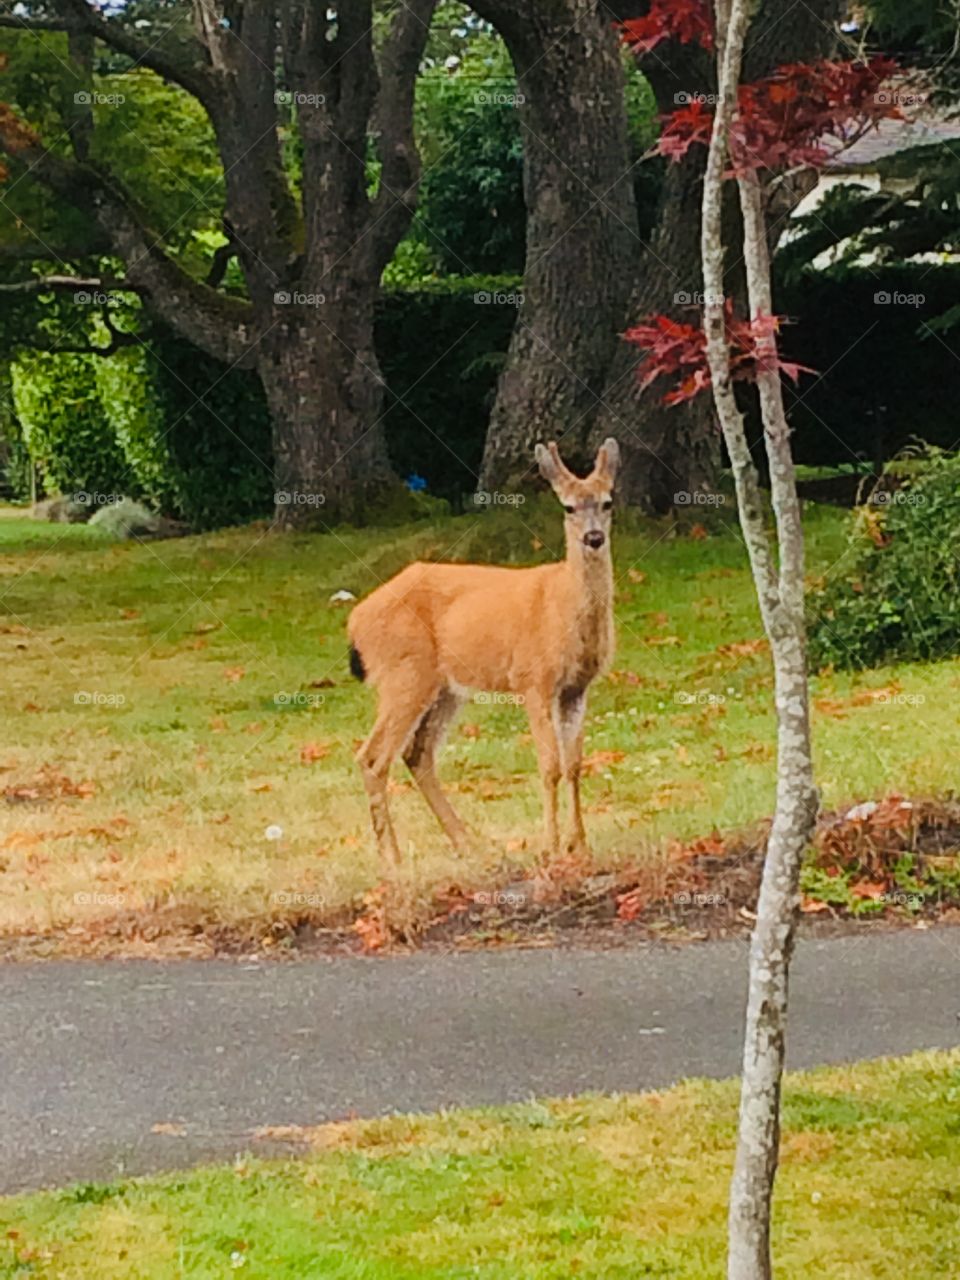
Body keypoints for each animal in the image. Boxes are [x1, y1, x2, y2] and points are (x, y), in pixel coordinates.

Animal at [348, 437, 620, 867]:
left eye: (608, 501)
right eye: (568, 507)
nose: (593, 538)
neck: (563, 605)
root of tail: (355, 620)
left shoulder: (577, 687)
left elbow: (575, 764)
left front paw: (580, 846)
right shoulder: (533, 678)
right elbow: (550, 765)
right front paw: (550, 848)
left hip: (445, 688)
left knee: (417, 753)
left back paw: (467, 843)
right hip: (403, 673)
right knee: (372, 757)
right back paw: (393, 859)